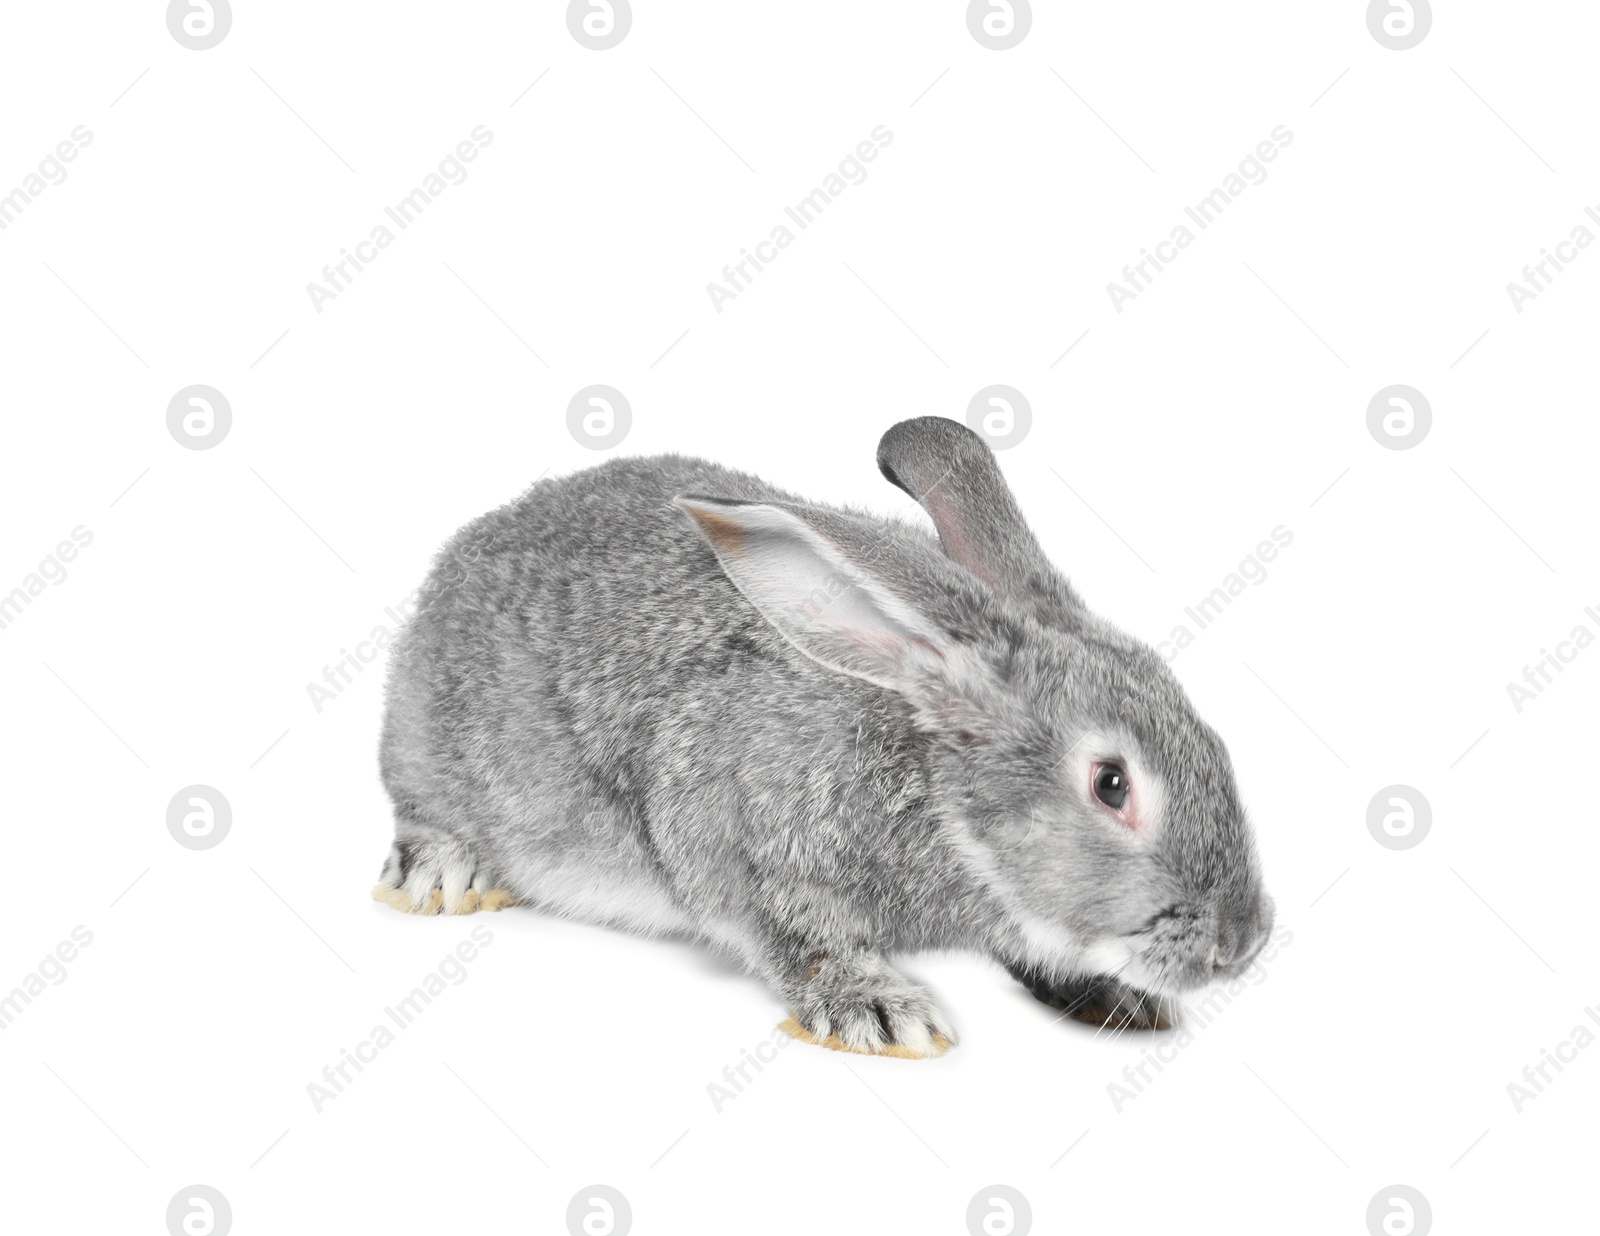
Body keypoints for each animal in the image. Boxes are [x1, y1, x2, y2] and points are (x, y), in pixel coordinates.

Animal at [374, 419, 1273, 1056]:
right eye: (1111, 783)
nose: (1242, 943)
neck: (936, 788)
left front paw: (1118, 999)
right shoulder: (738, 838)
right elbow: (796, 937)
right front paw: (881, 1010)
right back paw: (442, 874)